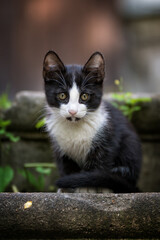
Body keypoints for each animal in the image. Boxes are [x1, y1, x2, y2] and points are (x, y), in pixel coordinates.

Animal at [42, 50, 141, 193]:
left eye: (84, 96)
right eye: (62, 95)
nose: (72, 111)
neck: (75, 126)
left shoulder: (107, 136)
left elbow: (98, 164)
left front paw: (87, 188)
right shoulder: (59, 146)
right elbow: (67, 166)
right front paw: (67, 187)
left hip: (130, 147)